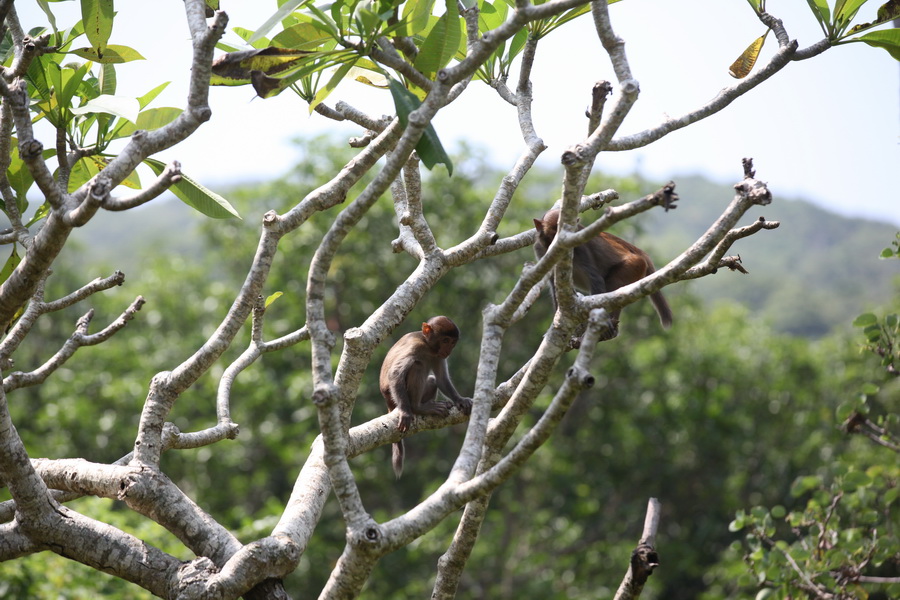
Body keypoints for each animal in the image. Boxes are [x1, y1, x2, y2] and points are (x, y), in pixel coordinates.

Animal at [379, 316, 473, 478]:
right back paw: (418, 407)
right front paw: (406, 413)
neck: (428, 346)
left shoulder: (438, 356)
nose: (448, 350)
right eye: (445, 340)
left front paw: (459, 400)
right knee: (417, 365)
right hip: (394, 395)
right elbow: (395, 374)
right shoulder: (415, 347)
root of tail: (388, 401)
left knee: (432, 380)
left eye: (452, 342)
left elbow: (441, 379)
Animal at [533, 208, 673, 339]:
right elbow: (554, 285)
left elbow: (595, 278)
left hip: (634, 265)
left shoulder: (580, 247)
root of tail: (639, 253)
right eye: (555, 230)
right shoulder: (540, 250)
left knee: (614, 285)